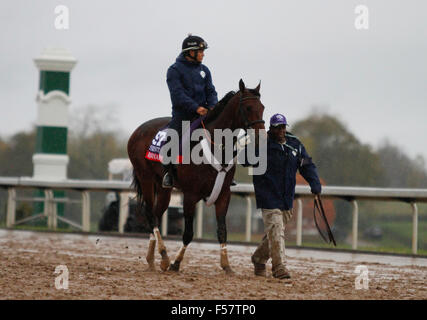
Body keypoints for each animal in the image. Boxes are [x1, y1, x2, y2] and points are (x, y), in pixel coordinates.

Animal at [127, 79, 266, 274]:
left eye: (262, 107)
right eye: (247, 107)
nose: (262, 137)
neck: (216, 145)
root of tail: (138, 131)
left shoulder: (224, 194)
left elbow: (222, 230)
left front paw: (227, 265)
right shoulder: (190, 196)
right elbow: (188, 233)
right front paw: (176, 263)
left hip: (163, 188)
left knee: (156, 213)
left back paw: (152, 259)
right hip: (145, 178)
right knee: (150, 215)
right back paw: (164, 256)